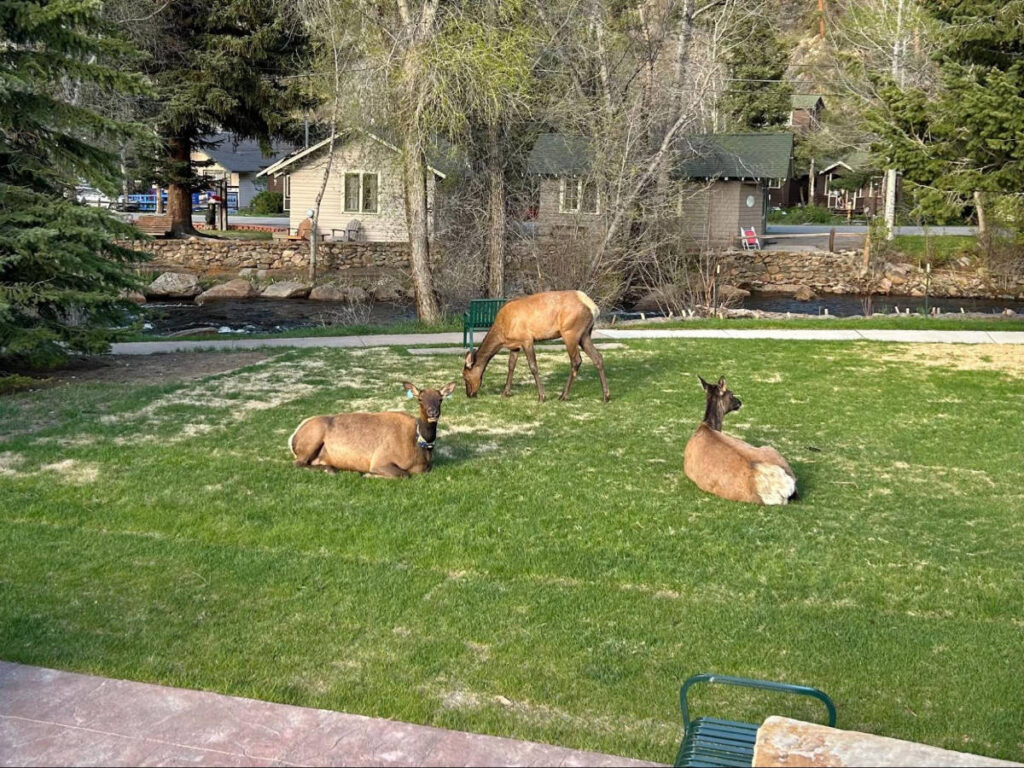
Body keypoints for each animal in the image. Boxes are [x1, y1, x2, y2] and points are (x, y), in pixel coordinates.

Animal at [289, 381, 457, 478]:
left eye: (440, 399)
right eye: (420, 399)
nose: (433, 413)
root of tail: (292, 438)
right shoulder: (380, 460)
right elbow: (403, 474)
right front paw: (369, 475)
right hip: (313, 437)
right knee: (298, 463)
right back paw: (331, 470)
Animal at [462, 290, 610, 403]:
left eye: (465, 376)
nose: (469, 394)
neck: (502, 334)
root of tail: (594, 308)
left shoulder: (526, 339)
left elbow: (533, 366)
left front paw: (542, 396)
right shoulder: (514, 345)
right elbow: (511, 366)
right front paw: (505, 392)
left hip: (570, 332)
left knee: (576, 361)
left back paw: (563, 395)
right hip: (585, 335)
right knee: (598, 357)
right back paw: (606, 396)